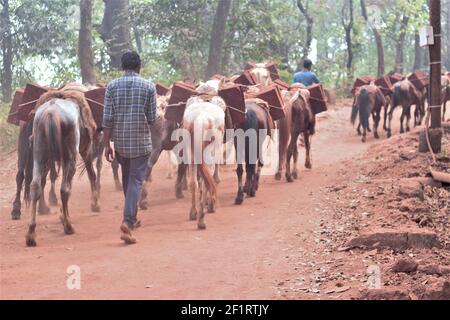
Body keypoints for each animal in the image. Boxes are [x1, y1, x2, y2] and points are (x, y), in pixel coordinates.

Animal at [25, 90, 100, 248]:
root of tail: (51, 112)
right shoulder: (85, 150)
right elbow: (91, 174)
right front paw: (95, 203)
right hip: (70, 156)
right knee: (65, 188)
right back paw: (68, 226)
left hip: (39, 153)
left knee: (35, 186)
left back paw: (31, 234)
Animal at [182, 96, 225, 229]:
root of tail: (201, 118)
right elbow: (213, 178)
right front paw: (211, 203)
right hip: (210, 151)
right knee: (208, 180)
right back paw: (202, 219)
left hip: (190, 152)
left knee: (193, 182)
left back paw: (193, 213)